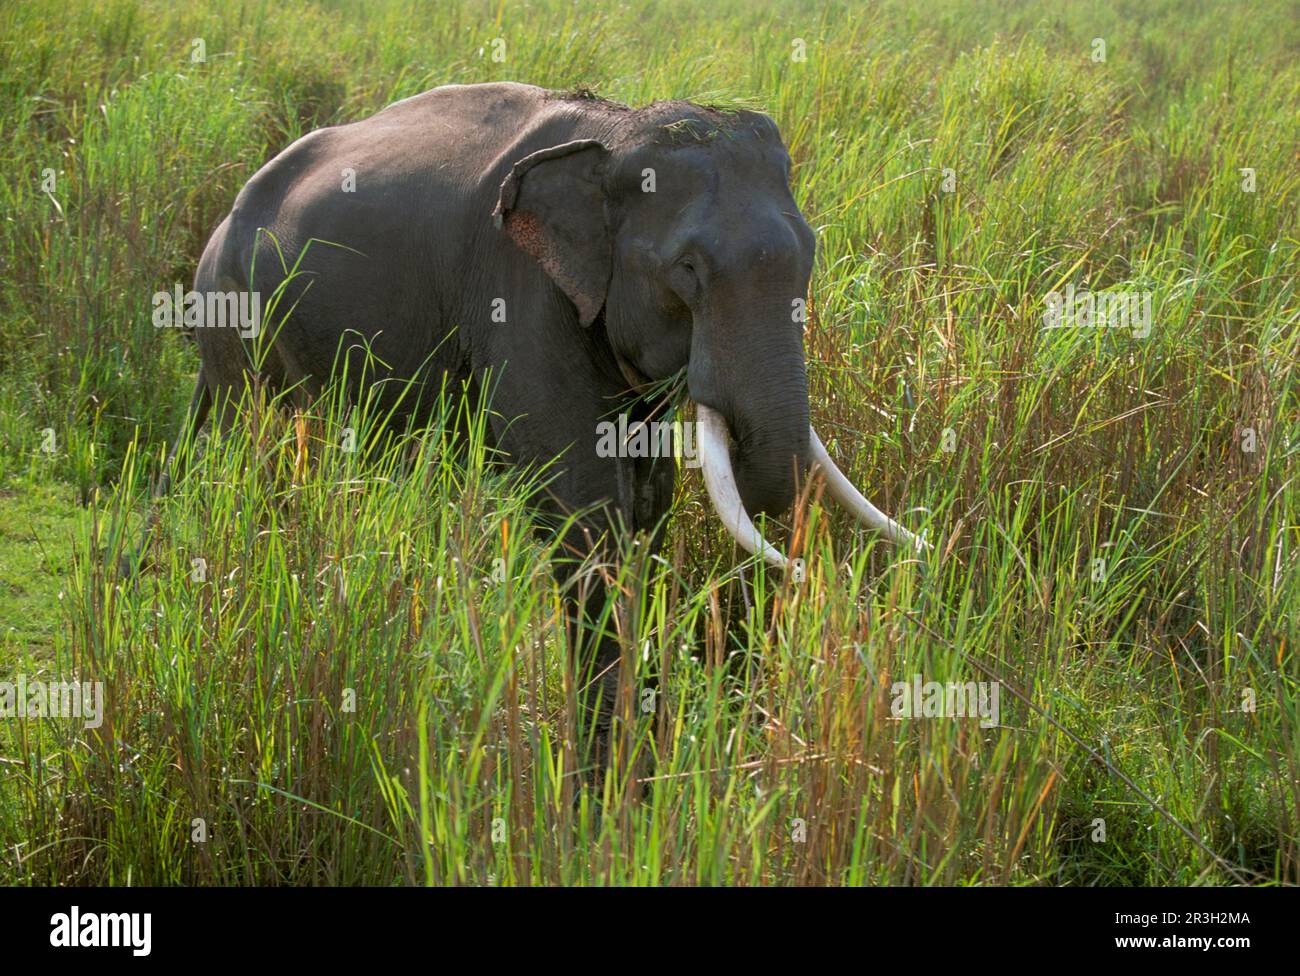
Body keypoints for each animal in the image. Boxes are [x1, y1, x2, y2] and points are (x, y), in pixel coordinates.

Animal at [159, 82, 924, 773]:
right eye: (687, 270)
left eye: (810, 254)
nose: (809, 570)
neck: (615, 133)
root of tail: (220, 225)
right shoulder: (521, 299)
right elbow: (586, 519)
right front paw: (605, 791)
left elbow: (647, 508)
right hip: (233, 317)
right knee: (256, 456)